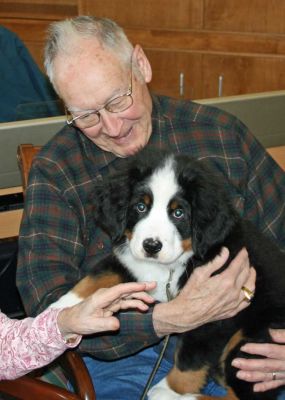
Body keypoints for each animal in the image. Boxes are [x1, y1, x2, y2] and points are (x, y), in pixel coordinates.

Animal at [51, 148, 284, 398]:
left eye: (178, 213)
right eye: (141, 207)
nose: (151, 246)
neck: (169, 267)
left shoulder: (215, 311)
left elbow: (191, 357)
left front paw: (169, 390)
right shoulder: (128, 261)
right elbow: (95, 278)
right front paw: (63, 312)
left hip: (254, 342)